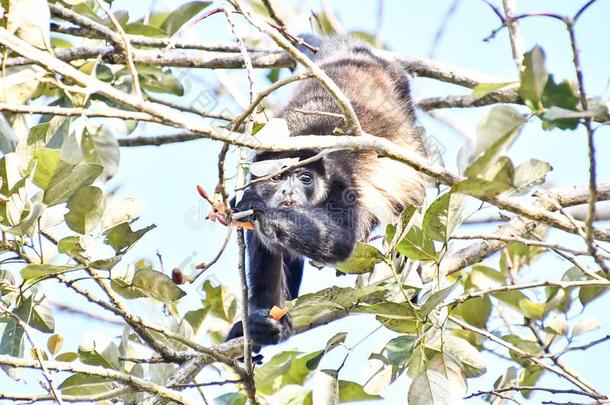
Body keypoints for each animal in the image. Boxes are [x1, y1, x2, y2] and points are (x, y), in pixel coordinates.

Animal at [224, 34, 428, 344]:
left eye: (305, 178)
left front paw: (261, 212)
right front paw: (263, 323)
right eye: (278, 177)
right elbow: (264, 247)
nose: (288, 193)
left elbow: (342, 240)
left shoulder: (343, 184)